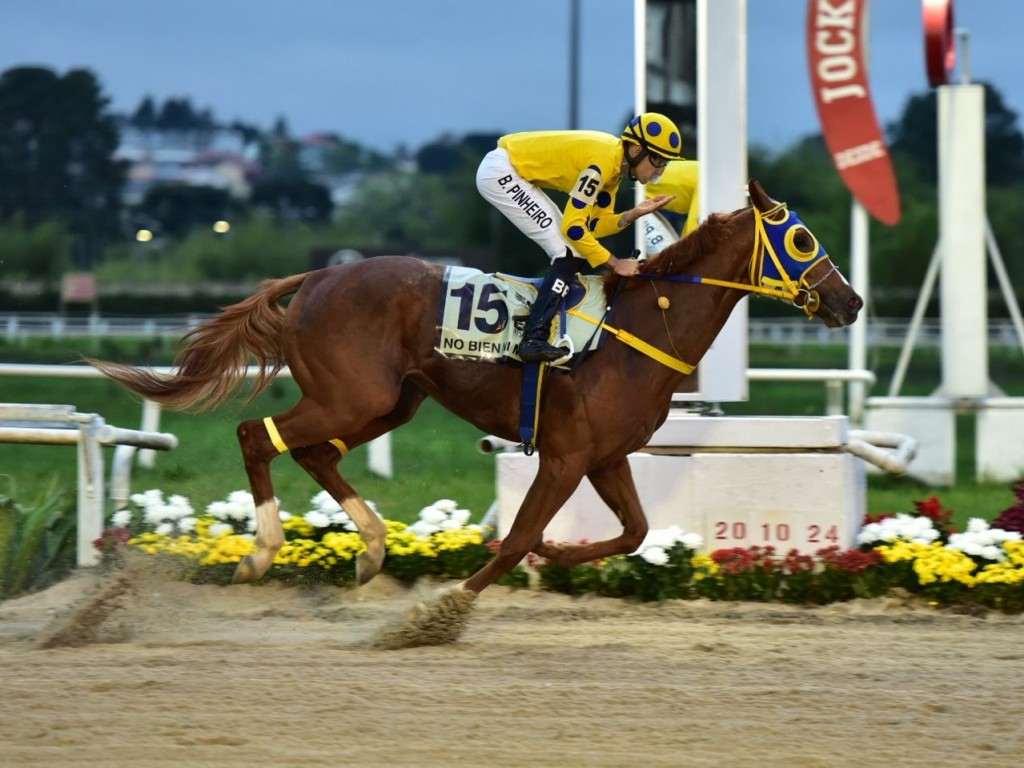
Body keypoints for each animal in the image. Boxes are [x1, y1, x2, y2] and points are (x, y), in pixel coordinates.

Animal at [92, 183, 864, 598]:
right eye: (801, 240)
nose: (850, 302)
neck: (642, 327)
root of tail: (316, 277)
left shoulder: (605, 456)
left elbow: (633, 532)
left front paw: (556, 555)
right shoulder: (564, 456)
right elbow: (517, 537)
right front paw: (440, 611)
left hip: (390, 401)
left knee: (316, 452)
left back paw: (371, 549)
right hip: (353, 397)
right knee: (259, 435)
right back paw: (261, 553)